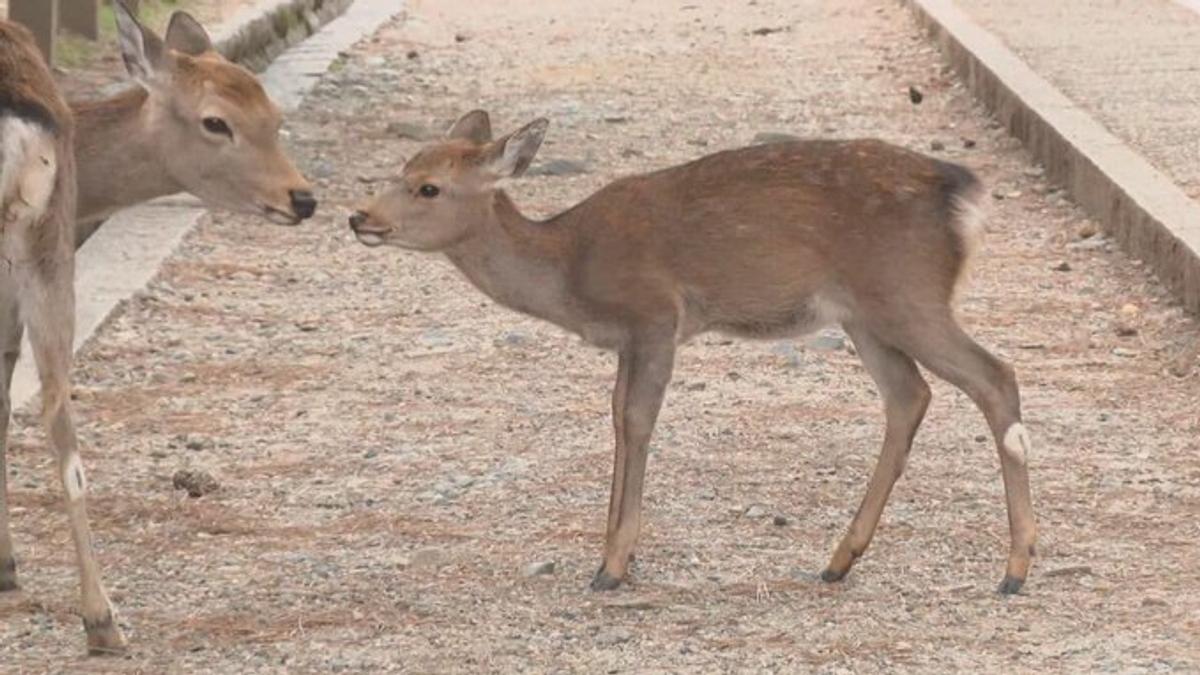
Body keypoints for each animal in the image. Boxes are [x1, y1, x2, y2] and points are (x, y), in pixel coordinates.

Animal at [0, 3, 315, 655]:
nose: (302, 198)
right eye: (216, 121)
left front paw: (6, 568)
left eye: (274, 117)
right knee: (59, 412)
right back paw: (102, 620)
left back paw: (99, 618)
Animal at [349, 110, 1038, 596]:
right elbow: (618, 419)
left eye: (429, 187)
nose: (360, 218)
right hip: (863, 314)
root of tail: (964, 194)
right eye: (400, 171)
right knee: (909, 394)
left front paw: (613, 564)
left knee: (995, 376)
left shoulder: (656, 316)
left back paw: (1015, 567)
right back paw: (839, 559)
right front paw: (612, 552)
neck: (569, 270)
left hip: (906, 292)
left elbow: (637, 421)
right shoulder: (628, 339)